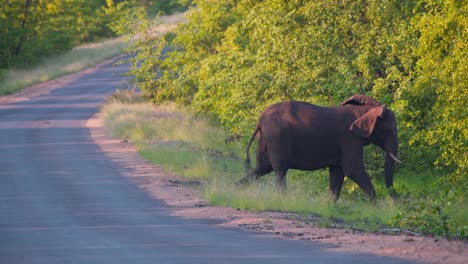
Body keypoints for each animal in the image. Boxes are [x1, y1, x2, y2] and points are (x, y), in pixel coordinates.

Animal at [236, 94, 400, 201]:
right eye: (389, 130)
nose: (395, 202)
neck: (363, 111)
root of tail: (260, 120)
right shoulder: (349, 138)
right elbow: (352, 169)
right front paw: (376, 207)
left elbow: (337, 172)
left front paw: (329, 205)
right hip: (277, 138)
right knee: (279, 171)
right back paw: (283, 199)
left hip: (265, 139)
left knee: (262, 169)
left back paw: (234, 187)